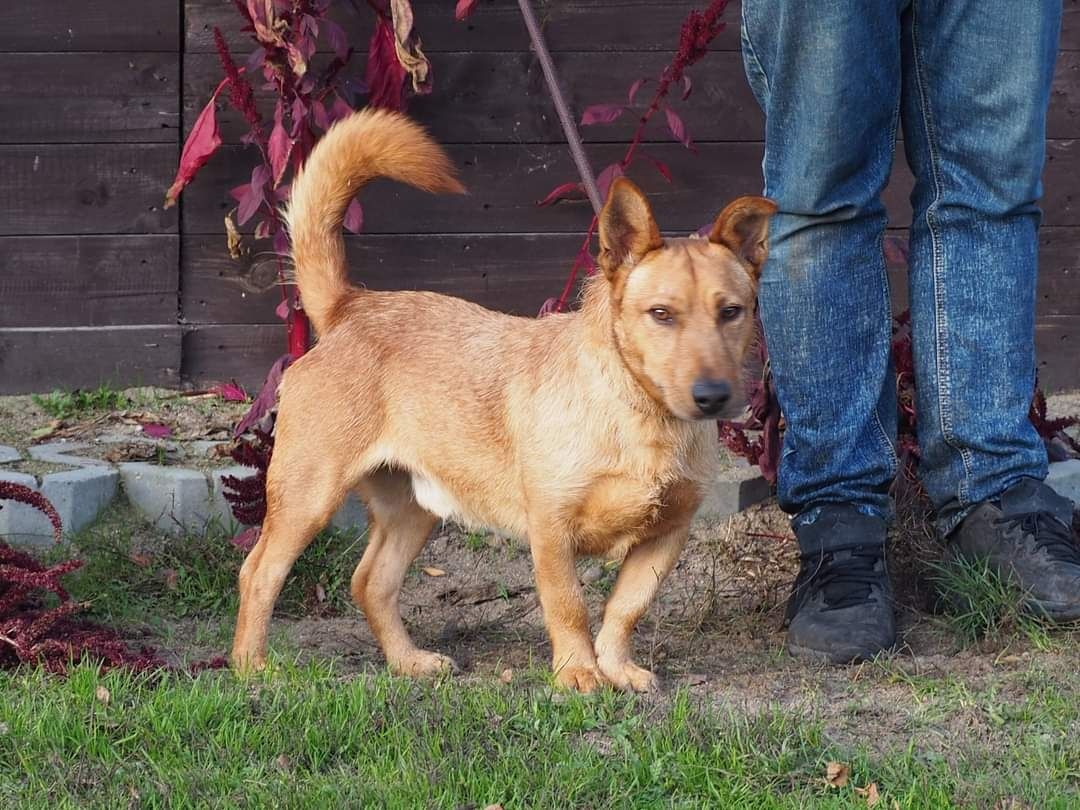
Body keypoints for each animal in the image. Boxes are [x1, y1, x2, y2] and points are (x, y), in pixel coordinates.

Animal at [232, 106, 777, 691]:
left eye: (731, 311)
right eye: (661, 314)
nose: (713, 396)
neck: (641, 416)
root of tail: (349, 306)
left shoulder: (667, 535)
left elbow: (626, 608)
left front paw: (616, 667)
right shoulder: (552, 529)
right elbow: (569, 606)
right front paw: (578, 673)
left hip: (413, 510)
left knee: (370, 582)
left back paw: (409, 662)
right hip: (307, 497)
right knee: (259, 572)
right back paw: (250, 667)